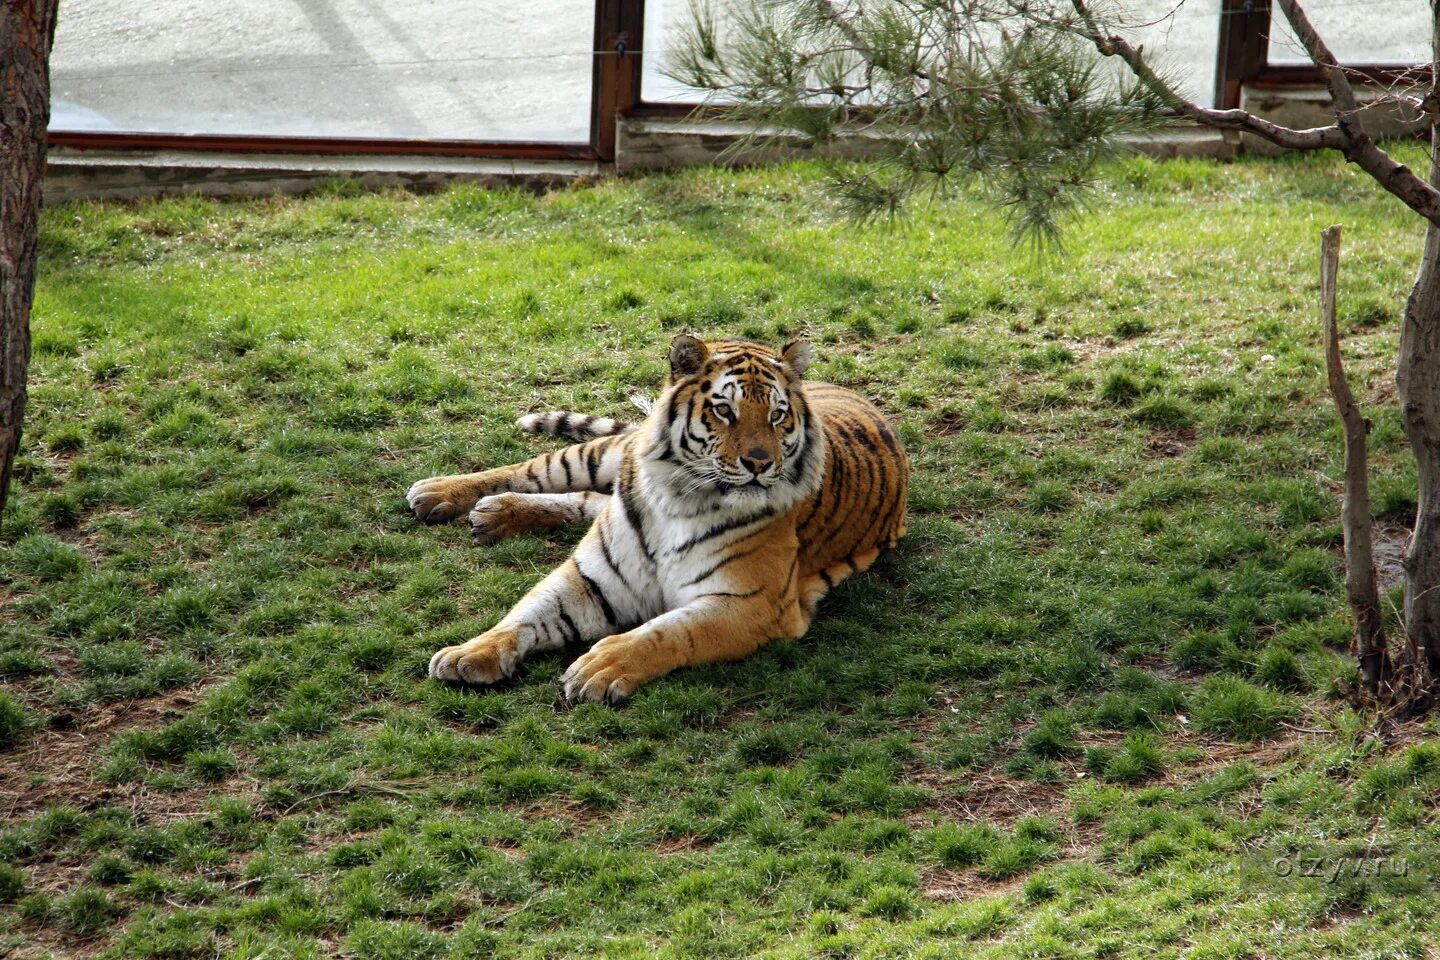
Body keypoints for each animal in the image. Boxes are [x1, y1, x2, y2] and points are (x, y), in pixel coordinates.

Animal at [406, 338, 904, 705]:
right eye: (725, 410)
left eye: (777, 414)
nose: (760, 463)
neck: (679, 498)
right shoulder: (591, 579)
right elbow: (525, 613)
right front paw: (469, 653)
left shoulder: (753, 605)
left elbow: (668, 631)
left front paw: (599, 667)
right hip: (602, 454)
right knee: (534, 470)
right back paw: (441, 493)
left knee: (587, 498)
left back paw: (492, 514)